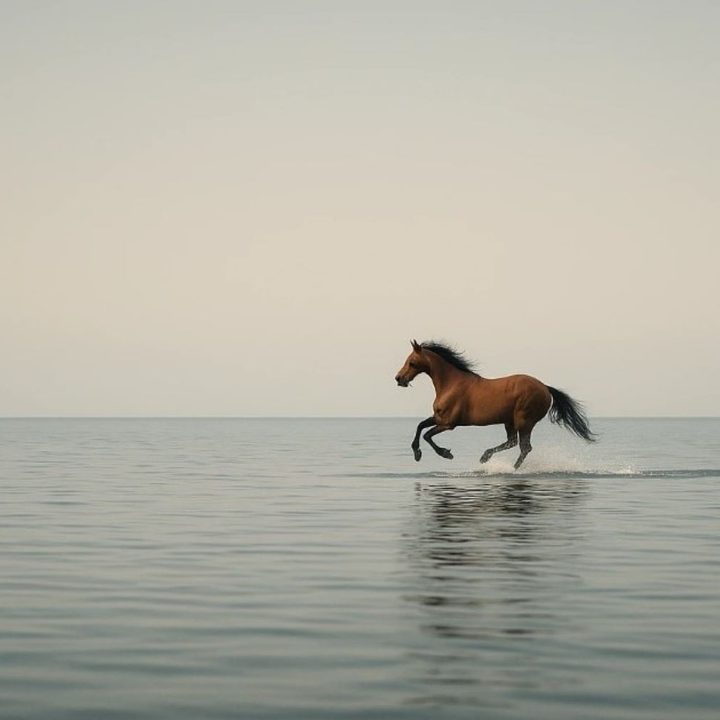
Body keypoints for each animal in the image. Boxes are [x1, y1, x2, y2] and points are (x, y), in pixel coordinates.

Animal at [394, 340, 595, 469]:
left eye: (411, 362)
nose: (399, 379)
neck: (450, 384)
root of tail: (545, 387)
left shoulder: (448, 423)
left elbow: (427, 435)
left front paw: (446, 453)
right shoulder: (438, 417)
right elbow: (420, 426)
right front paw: (417, 454)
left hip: (524, 421)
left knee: (524, 447)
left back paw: (511, 468)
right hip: (510, 421)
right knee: (512, 442)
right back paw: (486, 457)